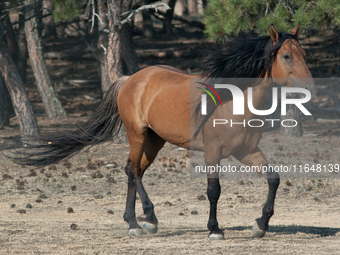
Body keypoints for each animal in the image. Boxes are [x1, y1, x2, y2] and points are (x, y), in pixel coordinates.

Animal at [11, 23, 318, 239]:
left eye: (304, 54)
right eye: (286, 55)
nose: (310, 88)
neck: (235, 102)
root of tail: (129, 79)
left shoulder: (247, 152)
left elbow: (274, 179)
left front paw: (260, 225)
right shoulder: (213, 153)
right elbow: (214, 190)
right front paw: (214, 229)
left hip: (154, 141)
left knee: (133, 171)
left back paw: (134, 223)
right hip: (137, 135)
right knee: (133, 171)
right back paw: (148, 220)